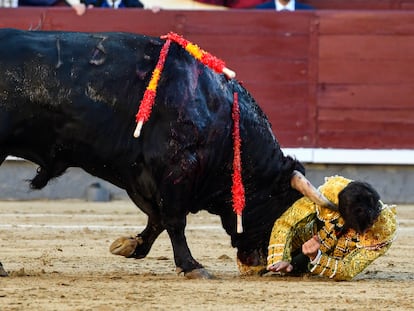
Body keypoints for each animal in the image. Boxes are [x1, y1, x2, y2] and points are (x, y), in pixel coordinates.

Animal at [0, 28, 310, 278]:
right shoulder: (176, 168)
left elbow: (157, 217)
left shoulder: (141, 174)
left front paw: (130, 246)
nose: (295, 267)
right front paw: (191, 266)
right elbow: (175, 219)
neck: (219, 114)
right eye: (282, 205)